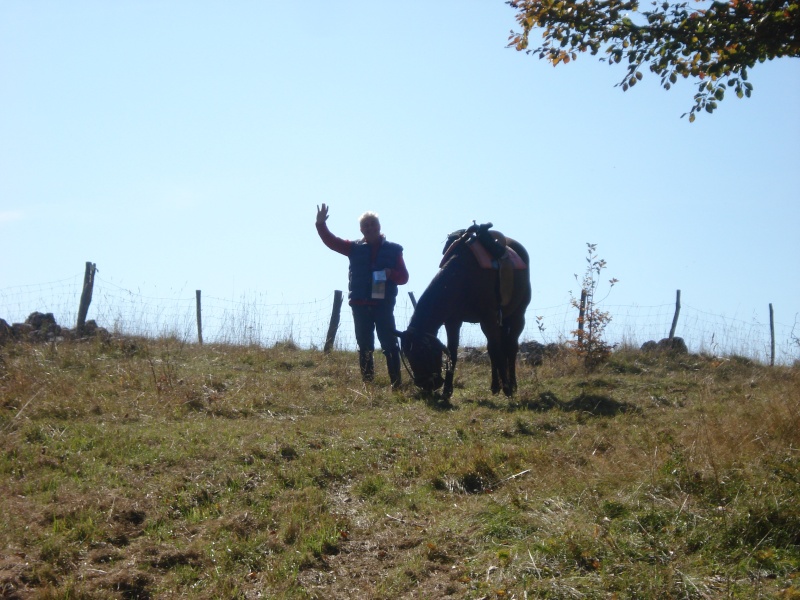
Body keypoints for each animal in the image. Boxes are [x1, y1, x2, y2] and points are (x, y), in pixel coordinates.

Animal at [396, 223, 532, 400]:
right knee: (493, 348)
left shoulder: (488, 318)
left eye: (421, 352)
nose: (426, 385)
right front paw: (447, 390)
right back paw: (496, 385)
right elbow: (453, 351)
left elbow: (498, 349)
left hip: (517, 316)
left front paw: (508, 388)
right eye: (407, 355)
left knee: (510, 347)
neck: (462, 278)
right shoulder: (454, 321)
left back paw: (512, 384)